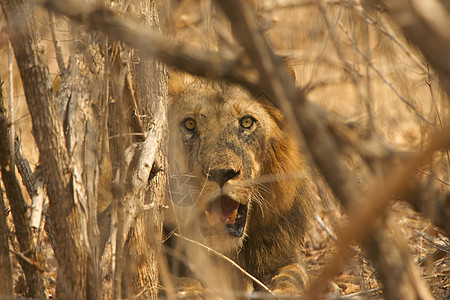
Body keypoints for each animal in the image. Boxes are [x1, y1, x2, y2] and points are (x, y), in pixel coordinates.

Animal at [167, 77, 314, 296]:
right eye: (190, 124)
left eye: (246, 122)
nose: (221, 172)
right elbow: (180, 283)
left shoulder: (286, 256)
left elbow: (292, 278)